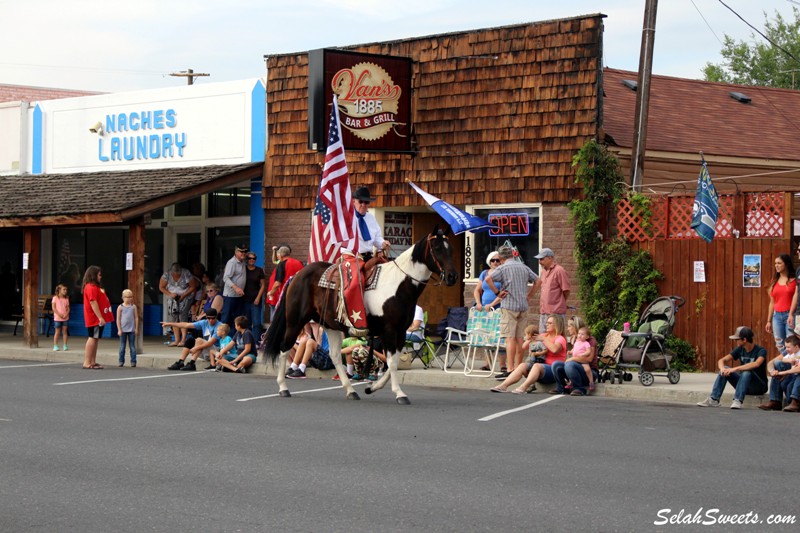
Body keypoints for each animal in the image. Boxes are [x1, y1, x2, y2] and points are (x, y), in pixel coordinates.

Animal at [264, 224, 456, 404]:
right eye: (437, 248)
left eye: (450, 248)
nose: (452, 276)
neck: (399, 285)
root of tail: (297, 275)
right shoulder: (390, 330)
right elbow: (392, 362)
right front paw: (399, 394)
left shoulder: (401, 332)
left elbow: (393, 362)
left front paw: (372, 388)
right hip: (295, 321)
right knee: (284, 348)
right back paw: (283, 388)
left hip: (330, 326)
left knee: (335, 356)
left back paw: (351, 391)